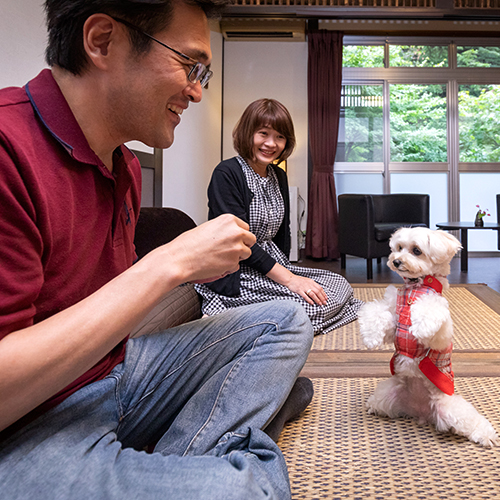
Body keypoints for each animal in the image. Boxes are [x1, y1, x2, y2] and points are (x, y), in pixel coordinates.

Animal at [358, 229, 498, 448]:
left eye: (417, 250)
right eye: (399, 248)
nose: (396, 261)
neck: (416, 286)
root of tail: (420, 412)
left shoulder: (441, 327)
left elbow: (428, 312)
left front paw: (420, 328)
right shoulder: (394, 318)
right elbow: (377, 314)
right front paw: (371, 337)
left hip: (449, 407)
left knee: (470, 421)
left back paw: (486, 435)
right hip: (386, 395)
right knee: (380, 402)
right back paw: (372, 406)